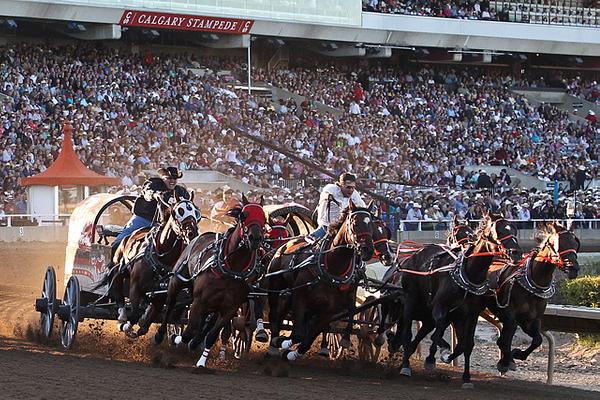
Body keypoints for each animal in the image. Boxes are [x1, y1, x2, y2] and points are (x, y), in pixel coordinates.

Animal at [91, 196, 199, 338]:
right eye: (179, 211)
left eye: (197, 213)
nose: (192, 233)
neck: (160, 257)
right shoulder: (135, 288)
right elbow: (134, 314)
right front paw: (127, 326)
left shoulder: (161, 296)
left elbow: (145, 324)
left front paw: (143, 321)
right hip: (118, 272)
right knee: (118, 295)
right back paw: (122, 318)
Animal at [155, 195, 264, 370]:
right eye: (244, 215)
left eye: (263, 218)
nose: (255, 238)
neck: (230, 268)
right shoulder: (199, 301)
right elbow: (189, 331)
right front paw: (176, 339)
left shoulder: (229, 309)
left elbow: (211, 335)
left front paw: (201, 361)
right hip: (177, 281)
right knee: (170, 304)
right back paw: (161, 335)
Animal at [264, 202, 372, 360]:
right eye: (355, 223)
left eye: (372, 224)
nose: (367, 250)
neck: (332, 267)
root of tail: (284, 245)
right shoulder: (300, 297)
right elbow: (298, 334)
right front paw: (281, 342)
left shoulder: (329, 310)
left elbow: (309, 337)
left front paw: (293, 353)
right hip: (275, 288)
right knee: (273, 315)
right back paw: (272, 344)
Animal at [488, 222, 580, 372]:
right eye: (559, 243)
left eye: (575, 243)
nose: (574, 268)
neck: (533, 283)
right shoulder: (509, 314)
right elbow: (505, 339)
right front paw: (506, 361)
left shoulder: (531, 319)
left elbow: (538, 340)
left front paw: (518, 354)